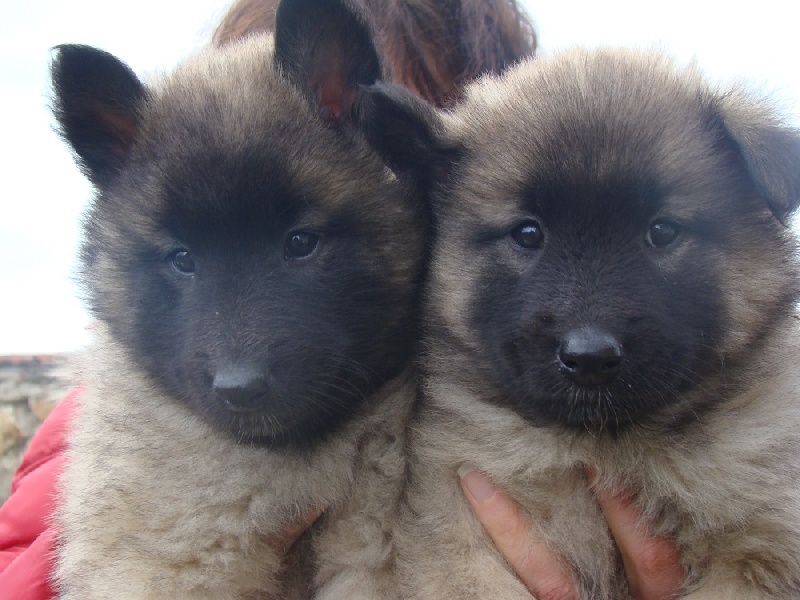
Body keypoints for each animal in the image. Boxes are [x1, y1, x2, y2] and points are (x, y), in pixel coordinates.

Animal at [358, 49, 800, 596]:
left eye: (662, 231)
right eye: (528, 233)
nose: (589, 357)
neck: (604, 444)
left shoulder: (760, 545)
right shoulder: (457, 526)